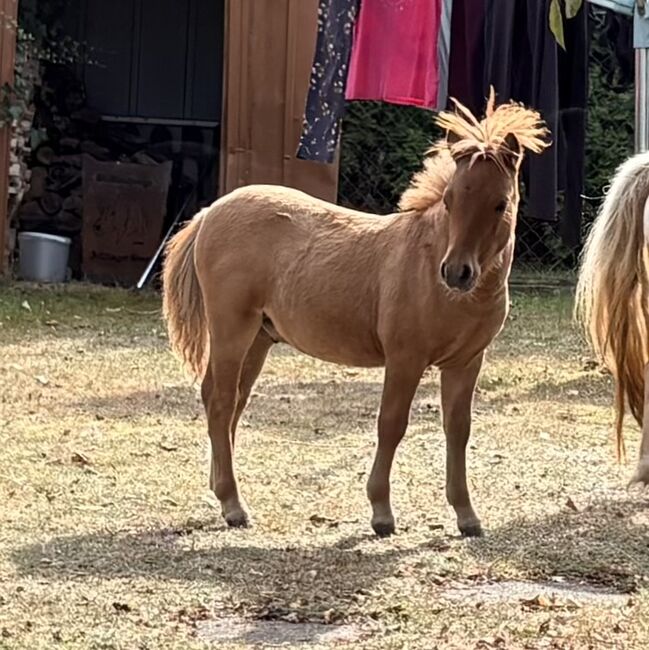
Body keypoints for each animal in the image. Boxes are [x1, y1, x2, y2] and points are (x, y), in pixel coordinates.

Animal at [162, 90, 548, 537]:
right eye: (450, 201)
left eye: (500, 204)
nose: (456, 272)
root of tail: (210, 213)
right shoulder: (405, 358)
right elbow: (392, 424)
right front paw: (381, 512)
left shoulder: (466, 362)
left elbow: (458, 429)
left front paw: (466, 515)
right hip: (231, 330)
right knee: (221, 399)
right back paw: (233, 505)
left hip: (258, 337)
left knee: (231, 402)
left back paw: (221, 491)